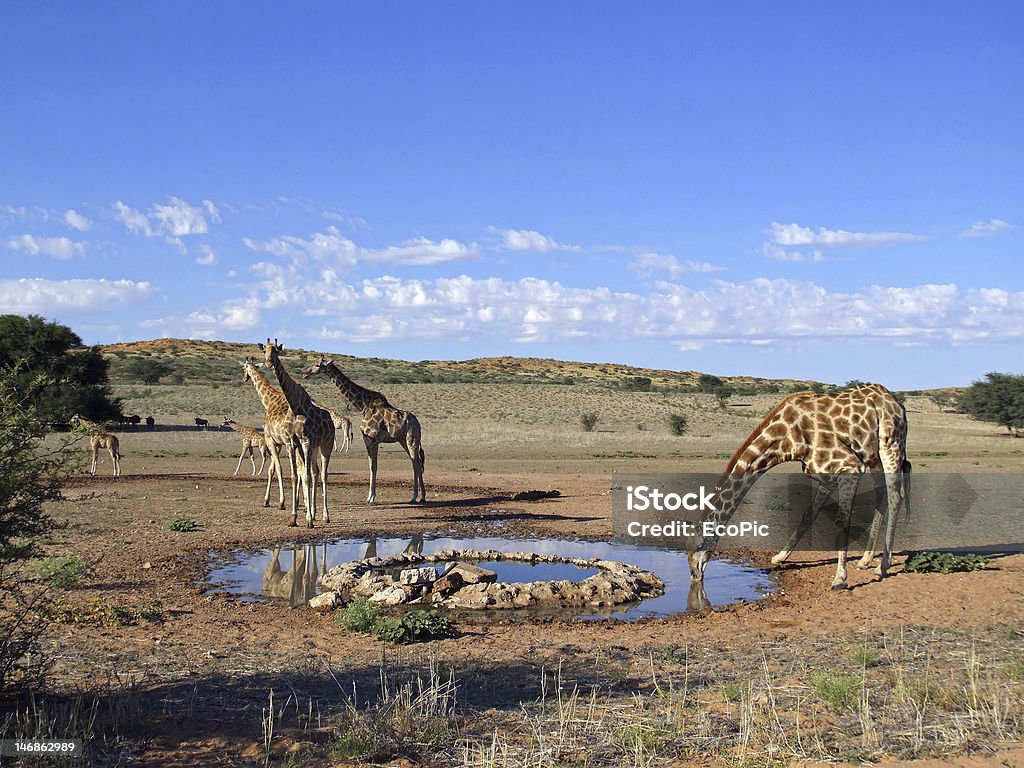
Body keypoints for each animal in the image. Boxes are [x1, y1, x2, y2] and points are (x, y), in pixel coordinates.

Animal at [258, 342, 333, 528]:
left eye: (276, 350)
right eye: (264, 350)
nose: (268, 362)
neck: (295, 405)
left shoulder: (306, 441)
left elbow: (305, 476)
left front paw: (308, 520)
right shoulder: (291, 443)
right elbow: (294, 476)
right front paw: (294, 518)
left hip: (325, 445)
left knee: (323, 475)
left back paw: (325, 516)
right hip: (313, 447)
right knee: (314, 472)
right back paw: (314, 513)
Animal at [301, 360, 425, 507]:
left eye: (318, 365)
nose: (305, 373)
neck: (363, 406)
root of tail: (418, 424)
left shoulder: (373, 439)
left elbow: (373, 466)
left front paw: (371, 497)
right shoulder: (367, 439)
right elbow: (371, 466)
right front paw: (370, 496)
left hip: (412, 439)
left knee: (416, 463)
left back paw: (416, 496)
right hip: (403, 440)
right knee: (416, 462)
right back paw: (421, 496)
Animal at [688, 382, 913, 589]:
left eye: (698, 545)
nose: (694, 575)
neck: (784, 440)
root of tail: (898, 404)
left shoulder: (850, 465)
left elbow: (842, 519)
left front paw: (840, 578)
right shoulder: (825, 475)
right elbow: (808, 515)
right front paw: (779, 557)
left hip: (891, 444)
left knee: (895, 496)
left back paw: (882, 566)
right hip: (873, 457)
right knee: (881, 495)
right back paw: (866, 560)